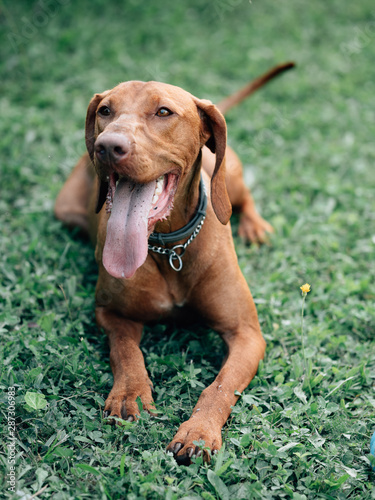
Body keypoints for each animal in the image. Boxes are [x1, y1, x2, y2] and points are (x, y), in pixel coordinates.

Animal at [55, 62, 296, 464]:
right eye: (105, 110)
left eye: (163, 112)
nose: (108, 146)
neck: (170, 248)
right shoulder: (109, 311)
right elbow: (125, 349)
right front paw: (129, 393)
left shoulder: (247, 334)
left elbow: (220, 386)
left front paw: (199, 432)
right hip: (66, 210)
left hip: (230, 178)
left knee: (242, 198)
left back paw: (255, 226)